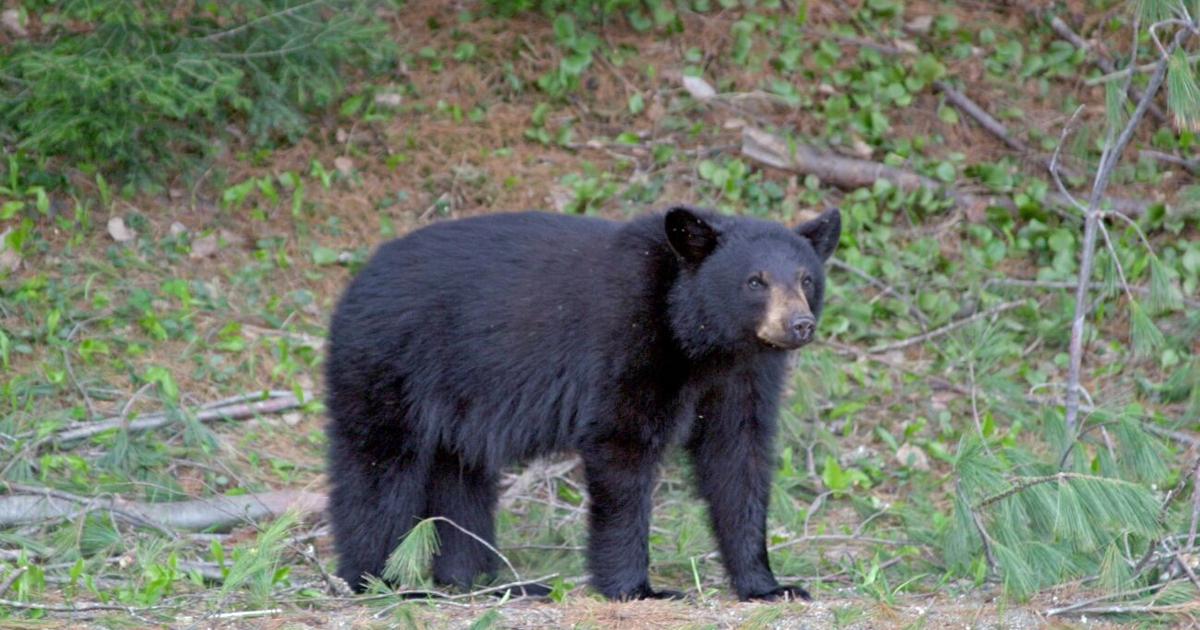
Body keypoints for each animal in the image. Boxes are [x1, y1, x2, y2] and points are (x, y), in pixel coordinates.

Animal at [324, 205, 840, 601]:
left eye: (806, 280)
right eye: (755, 281)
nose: (799, 325)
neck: (702, 340)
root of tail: (358, 279)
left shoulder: (742, 378)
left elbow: (738, 460)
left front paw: (769, 585)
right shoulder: (627, 343)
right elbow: (622, 446)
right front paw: (637, 588)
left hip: (458, 402)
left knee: (461, 476)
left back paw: (485, 581)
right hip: (391, 365)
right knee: (378, 468)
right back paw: (385, 581)